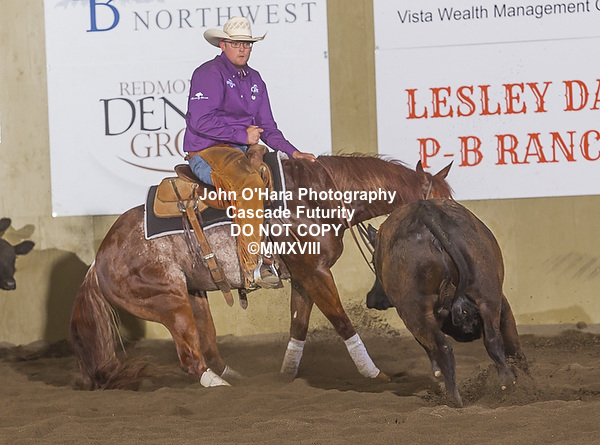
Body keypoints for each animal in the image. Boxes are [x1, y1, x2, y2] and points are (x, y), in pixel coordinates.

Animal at [69, 155, 452, 389]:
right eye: (437, 206)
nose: (454, 241)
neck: (317, 198)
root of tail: (99, 259)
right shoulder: (316, 273)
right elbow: (343, 323)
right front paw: (376, 374)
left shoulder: (304, 277)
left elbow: (298, 327)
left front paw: (286, 376)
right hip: (169, 301)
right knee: (191, 359)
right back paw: (222, 387)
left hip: (194, 297)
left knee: (208, 350)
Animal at [366, 199, 528, 406]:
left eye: (373, 262)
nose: (372, 298)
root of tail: (424, 212)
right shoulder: (501, 302)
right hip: (488, 295)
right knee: (493, 339)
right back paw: (508, 384)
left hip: (414, 313)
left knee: (443, 347)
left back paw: (453, 398)